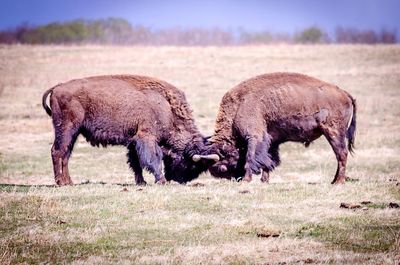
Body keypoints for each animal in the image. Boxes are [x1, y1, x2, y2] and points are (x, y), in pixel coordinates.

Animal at [41, 74, 219, 185]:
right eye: (192, 165)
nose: (179, 180)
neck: (167, 108)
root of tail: (57, 88)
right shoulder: (146, 137)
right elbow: (153, 158)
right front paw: (160, 180)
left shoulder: (133, 141)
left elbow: (136, 163)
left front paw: (142, 182)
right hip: (67, 128)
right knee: (57, 151)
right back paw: (61, 183)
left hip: (74, 133)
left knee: (65, 154)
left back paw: (69, 182)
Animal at [206, 72, 356, 184]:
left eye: (223, 167)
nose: (236, 178)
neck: (238, 105)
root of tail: (344, 93)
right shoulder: (271, 140)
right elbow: (268, 159)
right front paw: (264, 180)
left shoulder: (254, 136)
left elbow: (251, 157)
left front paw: (247, 180)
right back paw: (334, 181)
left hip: (334, 132)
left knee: (341, 154)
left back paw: (338, 182)